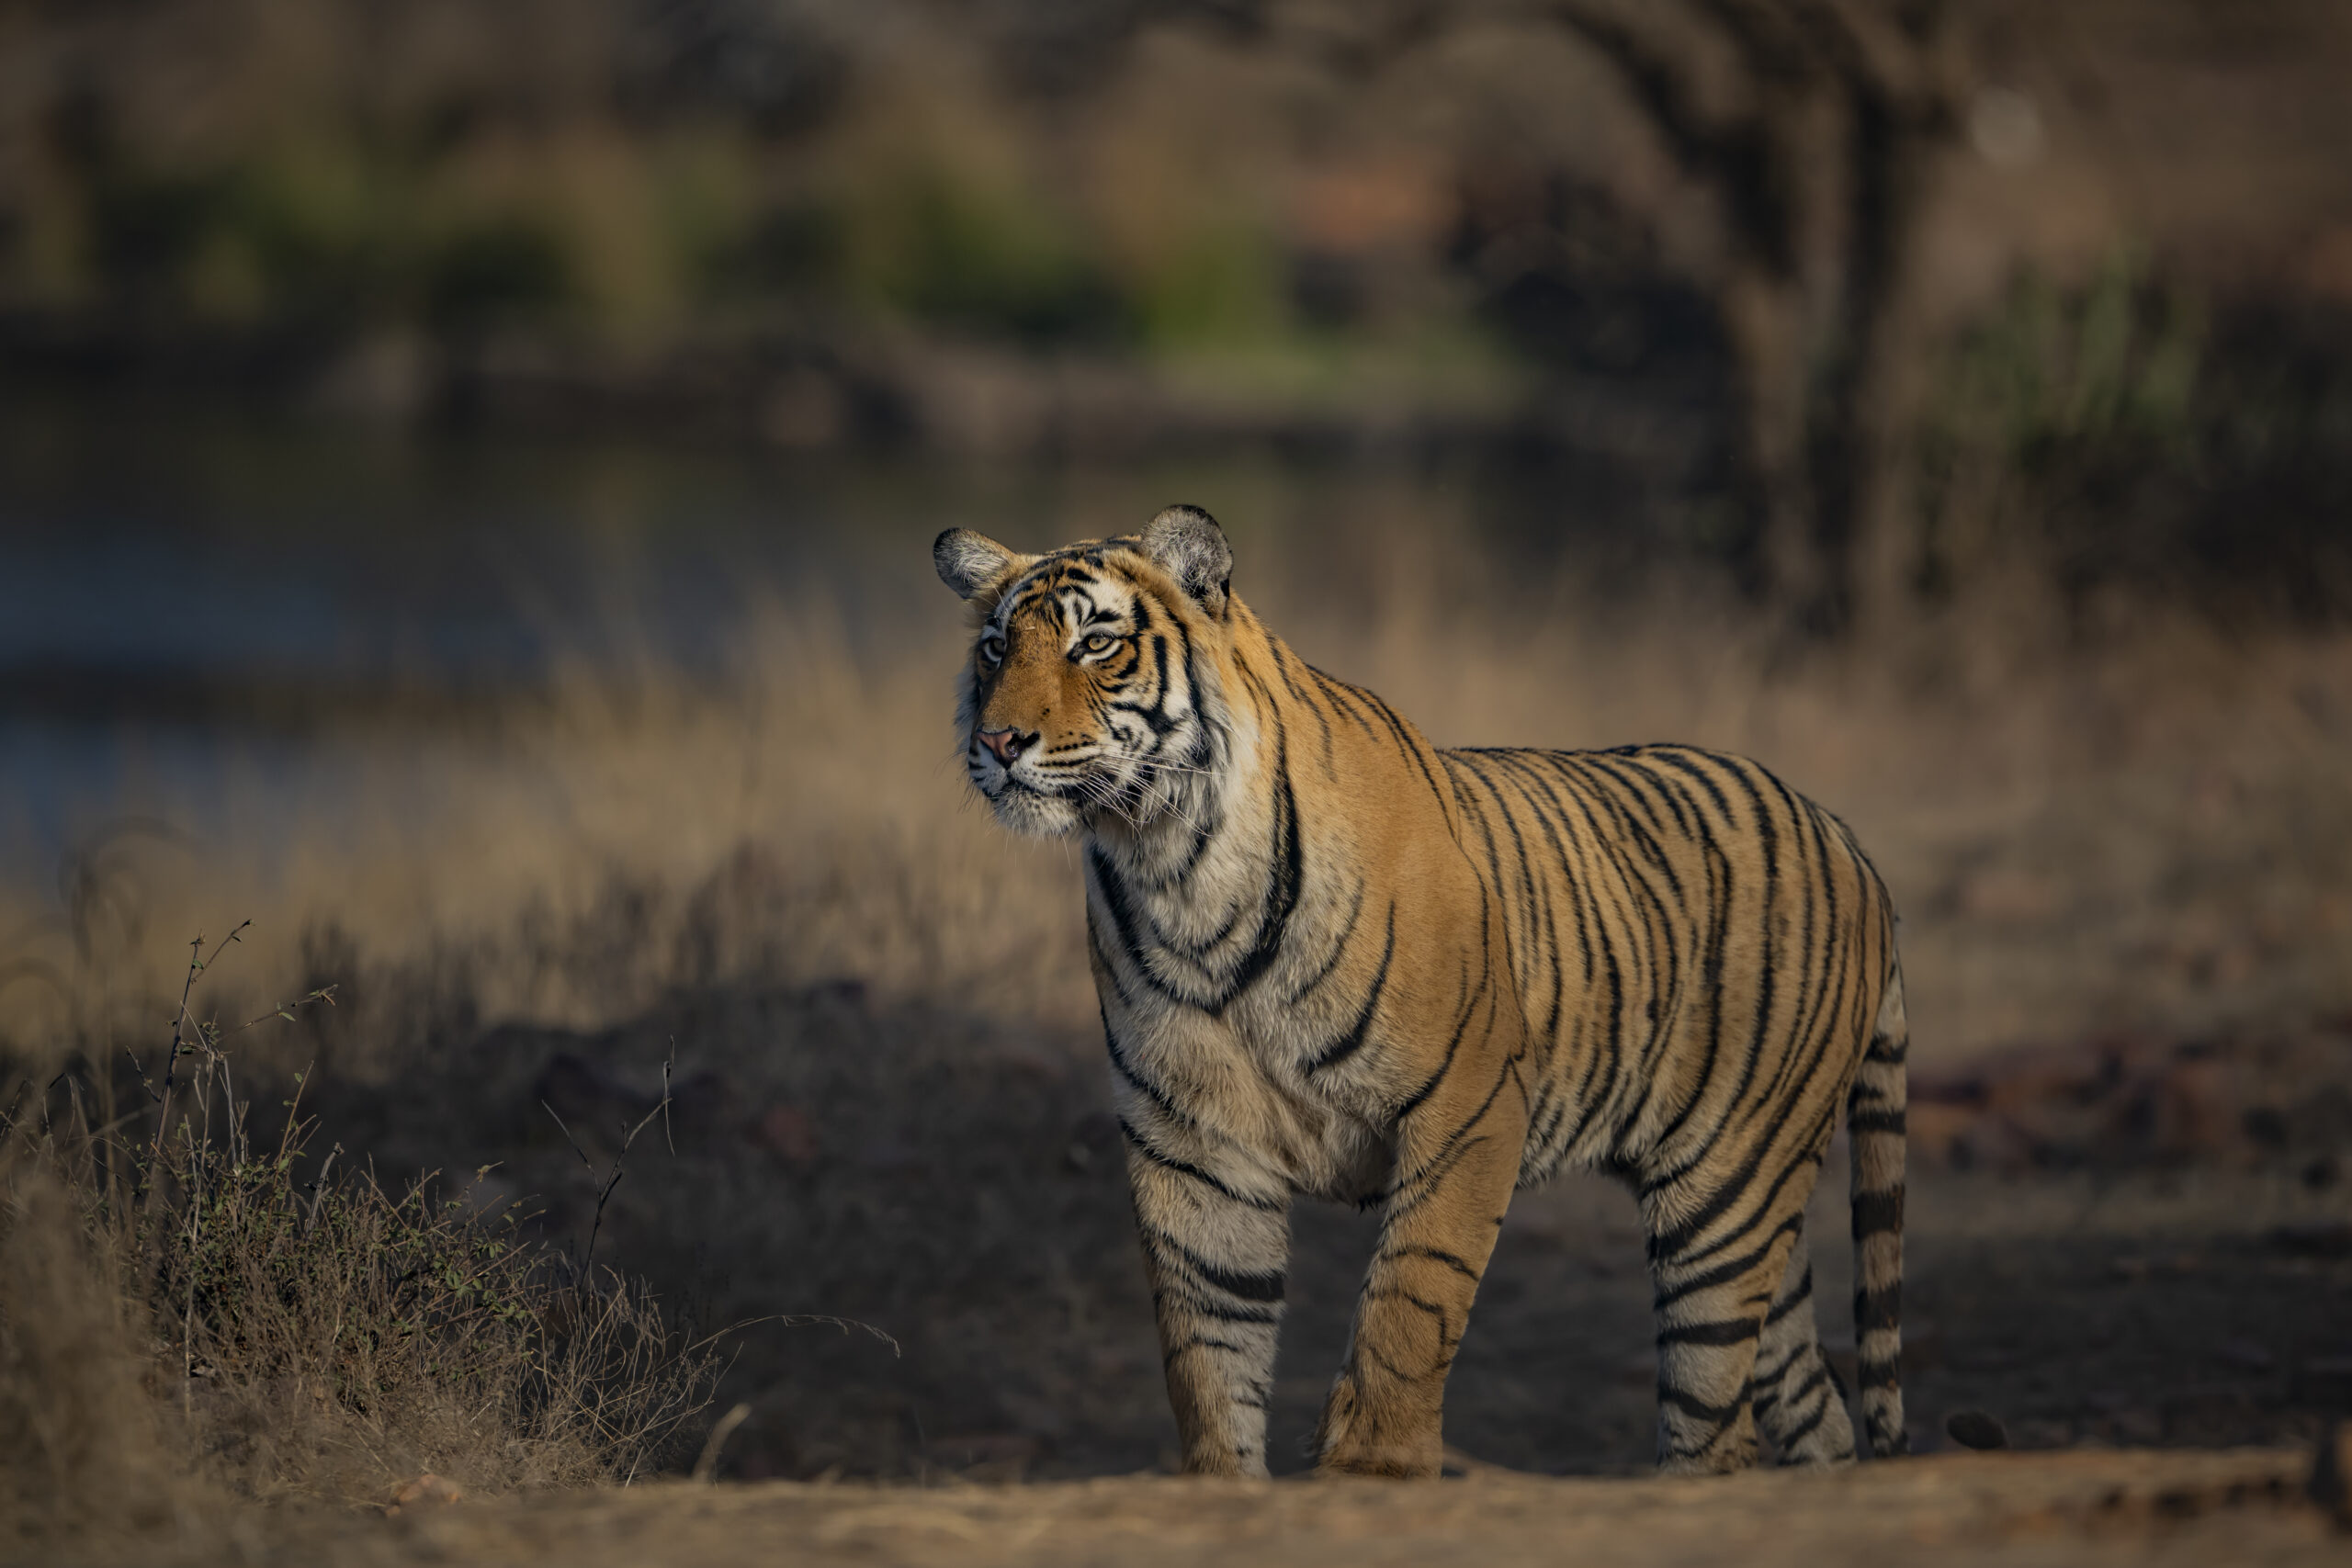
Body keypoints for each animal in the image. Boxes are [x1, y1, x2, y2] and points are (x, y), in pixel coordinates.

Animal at [933, 506, 1908, 1478]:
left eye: (1096, 642)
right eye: (995, 647)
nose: (999, 743)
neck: (1175, 868)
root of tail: (1848, 837)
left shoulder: (1469, 1105)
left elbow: (1410, 1299)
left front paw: (1377, 1467)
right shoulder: (1190, 1141)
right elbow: (1207, 1350)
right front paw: (1224, 1484)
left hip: (1726, 1194)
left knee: (1715, 1423)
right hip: (1760, 1217)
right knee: (1812, 1409)